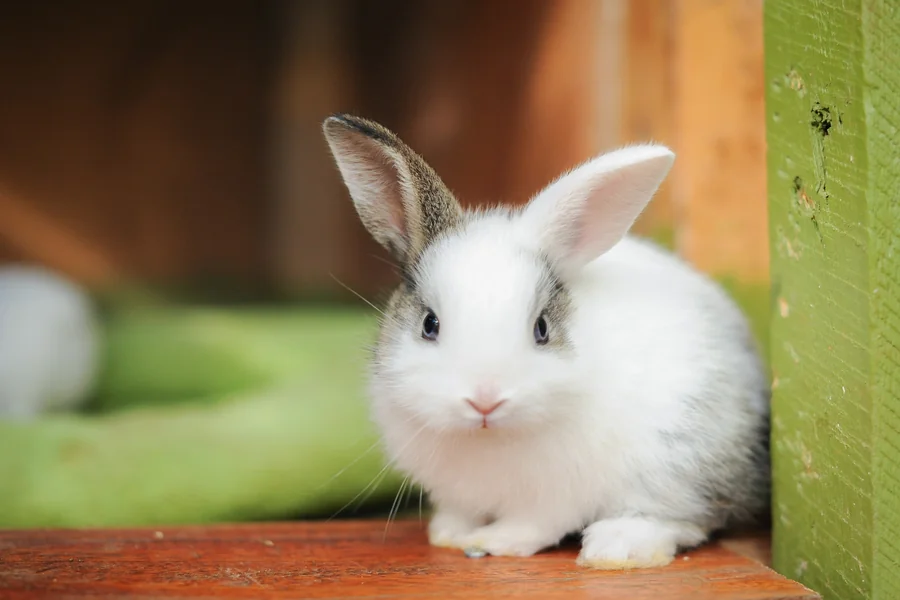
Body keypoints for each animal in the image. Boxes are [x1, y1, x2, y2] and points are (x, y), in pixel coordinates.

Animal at [323, 114, 770, 569]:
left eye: (541, 329)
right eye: (430, 324)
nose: (485, 400)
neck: (488, 438)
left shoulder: (555, 498)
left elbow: (534, 526)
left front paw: (494, 542)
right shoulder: (457, 493)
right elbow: (461, 513)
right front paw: (447, 535)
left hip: (679, 462)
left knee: (684, 518)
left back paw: (616, 547)